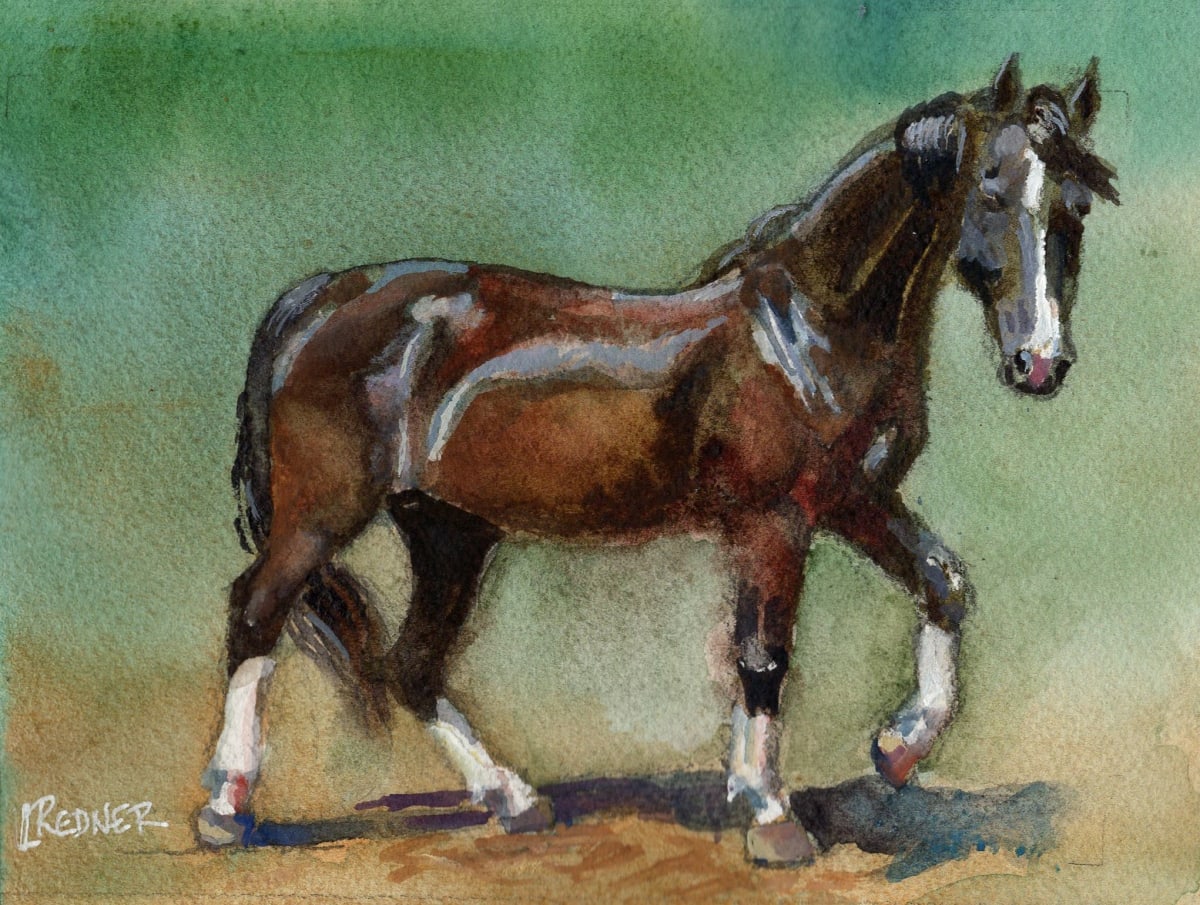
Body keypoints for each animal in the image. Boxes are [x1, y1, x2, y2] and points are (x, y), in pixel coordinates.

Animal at [197, 55, 1117, 865]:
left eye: (1077, 204)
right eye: (990, 189)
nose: (1040, 361)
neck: (808, 333)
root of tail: (316, 298)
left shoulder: (854, 501)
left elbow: (944, 583)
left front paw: (895, 748)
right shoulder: (774, 521)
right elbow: (762, 654)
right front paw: (772, 817)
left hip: (447, 529)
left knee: (411, 663)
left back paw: (515, 800)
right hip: (322, 515)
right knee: (256, 614)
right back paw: (226, 807)